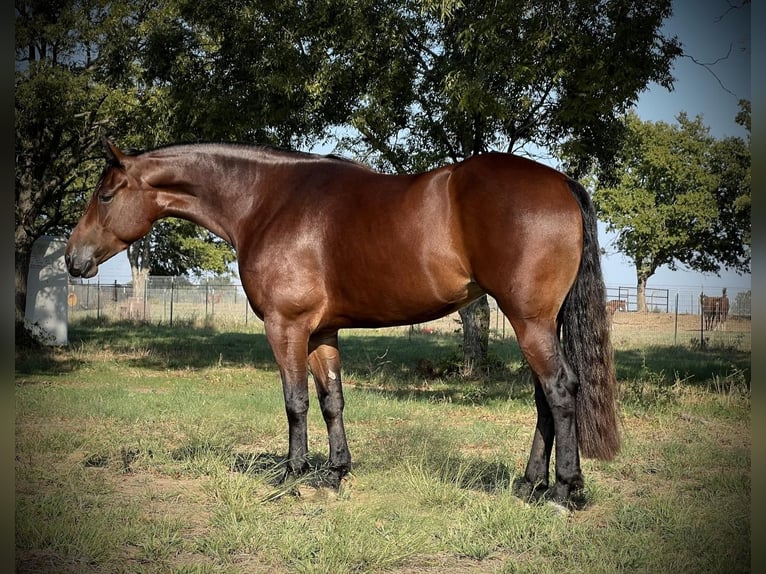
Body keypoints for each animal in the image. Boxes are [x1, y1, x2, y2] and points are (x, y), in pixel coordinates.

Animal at [65, 139, 620, 505]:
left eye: (106, 195)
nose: (73, 259)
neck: (268, 201)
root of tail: (561, 182)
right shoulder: (321, 331)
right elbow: (331, 400)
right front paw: (334, 473)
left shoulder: (285, 326)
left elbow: (295, 402)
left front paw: (291, 475)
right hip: (538, 323)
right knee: (545, 400)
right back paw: (529, 484)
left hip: (530, 321)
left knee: (561, 391)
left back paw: (564, 490)